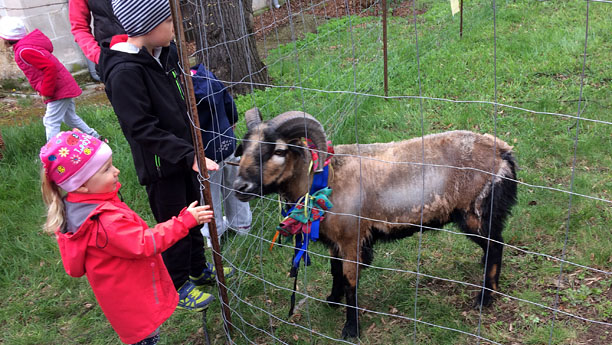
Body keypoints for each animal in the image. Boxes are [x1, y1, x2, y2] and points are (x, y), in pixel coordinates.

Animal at [233, 108, 516, 338]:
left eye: (279, 151)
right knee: (493, 243)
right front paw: (332, 300)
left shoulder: (351, 238)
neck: (324, 180)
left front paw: (351, 328)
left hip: (474, 211)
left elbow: (350, 280)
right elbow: (334, 271)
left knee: (496, 245)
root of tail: (503, 151)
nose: (240, 187)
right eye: (244, 147)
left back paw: (485, 297)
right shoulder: (336, 240)